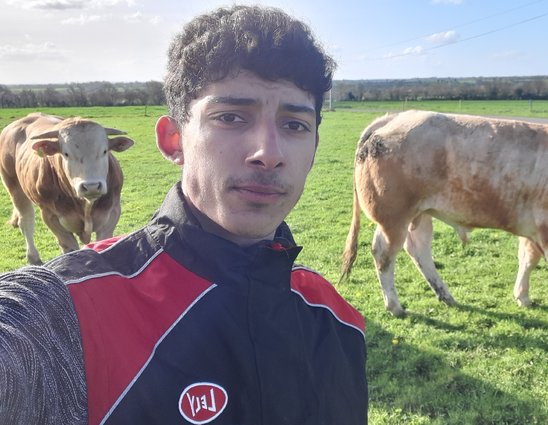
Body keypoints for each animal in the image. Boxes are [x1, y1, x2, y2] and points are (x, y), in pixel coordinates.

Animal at [0, 112, 134, 264]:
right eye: (66, 154)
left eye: (105, 151)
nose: (92, 186)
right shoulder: (51, 216)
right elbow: (70, 249)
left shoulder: (112, 213)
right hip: (13, 185)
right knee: (26, 221)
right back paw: (33, 257)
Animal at [342, 109, 548, 314]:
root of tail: (397, 116)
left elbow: (527, 259)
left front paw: (522, 296)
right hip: (394, 216)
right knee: (383, 254)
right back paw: (395, 305)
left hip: (419, 213)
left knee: (418, 249)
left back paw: (445, 295)